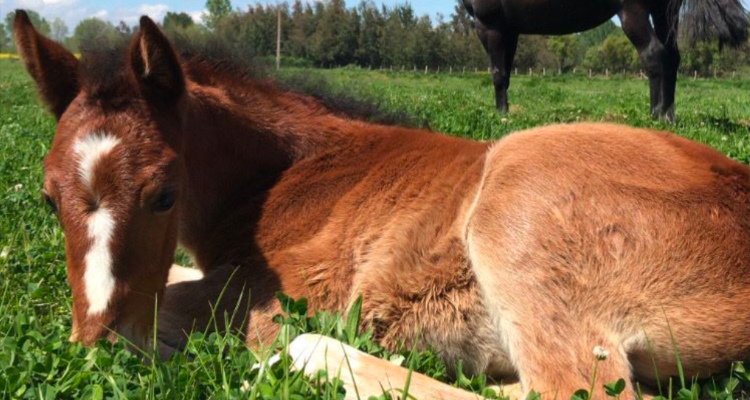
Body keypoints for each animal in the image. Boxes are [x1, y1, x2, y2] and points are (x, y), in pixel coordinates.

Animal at [468, 0, 748, 119]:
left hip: (634, 11)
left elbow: (498, 74)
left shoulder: (489, 26)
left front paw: (502, 116)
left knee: (654, 55)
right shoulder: (510, 30)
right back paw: (665, 114)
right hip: (664, 10)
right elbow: (506, 73)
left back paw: (658, 117)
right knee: (671, 58)